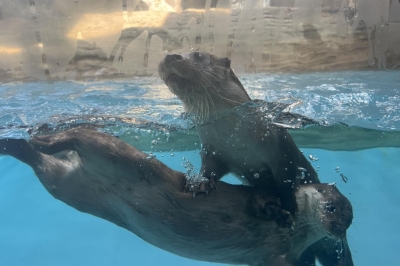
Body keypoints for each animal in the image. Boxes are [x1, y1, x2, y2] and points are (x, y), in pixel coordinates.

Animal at [0, 128, 352, 264]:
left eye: (349, 219)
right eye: (332, 207)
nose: (338, 229)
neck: (297, 235)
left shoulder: (281, 256)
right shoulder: (262, 197)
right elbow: (261, 201)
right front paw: (278, 213)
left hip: (66, 186)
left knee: (42, 164)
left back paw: (15, 145)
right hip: (110, 149)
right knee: (77, 135)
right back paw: (40, 137)